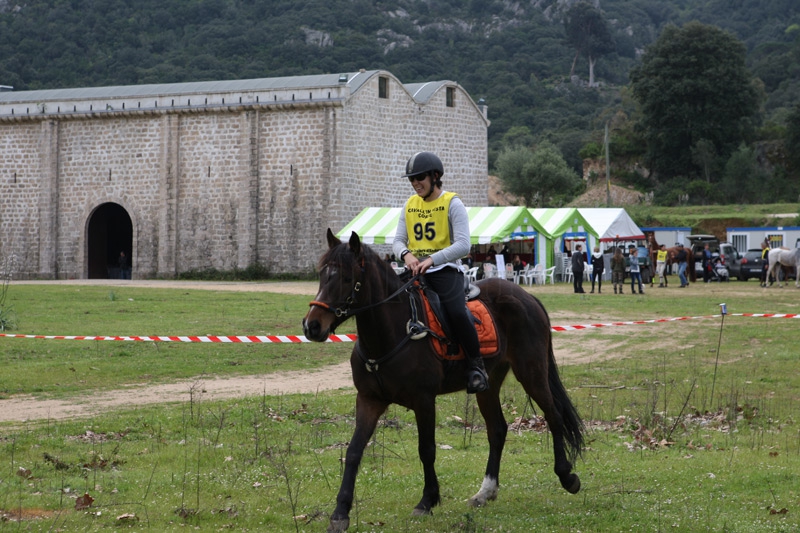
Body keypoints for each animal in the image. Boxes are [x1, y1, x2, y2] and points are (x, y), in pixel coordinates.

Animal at [302, 229, 584, 532]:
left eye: (346, 278)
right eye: (322, 275)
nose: (312, 326)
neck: (391, 332)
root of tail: (527, 297)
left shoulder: (424, 400)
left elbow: (426, 449)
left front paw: (427, 500)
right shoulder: (369, 400)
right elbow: (354, 451)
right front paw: (340, 512)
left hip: (531, 372)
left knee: (554, 416)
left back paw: (567, 477)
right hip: (489, 384)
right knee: (497, 429)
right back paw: (485, 492)